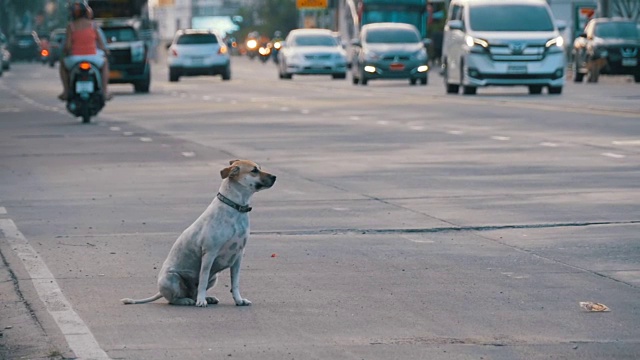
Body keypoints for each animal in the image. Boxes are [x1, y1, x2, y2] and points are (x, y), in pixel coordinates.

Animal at [121, 160, 276, 306]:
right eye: (254, 170)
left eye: (259, 168)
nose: (275, 176)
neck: (234, 208)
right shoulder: (209, 254)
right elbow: (203, 279)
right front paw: (201, 301)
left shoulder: (238, 257)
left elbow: (235, 283)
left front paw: (239, 300)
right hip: (171, 278)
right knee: (174, 299)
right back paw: (188, 300)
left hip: (214, 278)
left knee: (194, 293)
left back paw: (207, 298)